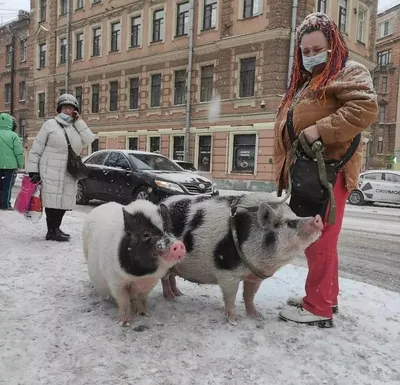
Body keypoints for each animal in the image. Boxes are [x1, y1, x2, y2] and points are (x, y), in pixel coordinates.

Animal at [159, 192, 322, 324]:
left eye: (296, 216)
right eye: (290, 223)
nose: (318, 218)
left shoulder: (254, 276)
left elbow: (250, 295)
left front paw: (257, 316)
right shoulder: (227, 272)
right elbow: (231, 296)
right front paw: (234, 321)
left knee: (171, 276)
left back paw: (178, 294)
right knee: (164, 278)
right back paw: (171, 298)